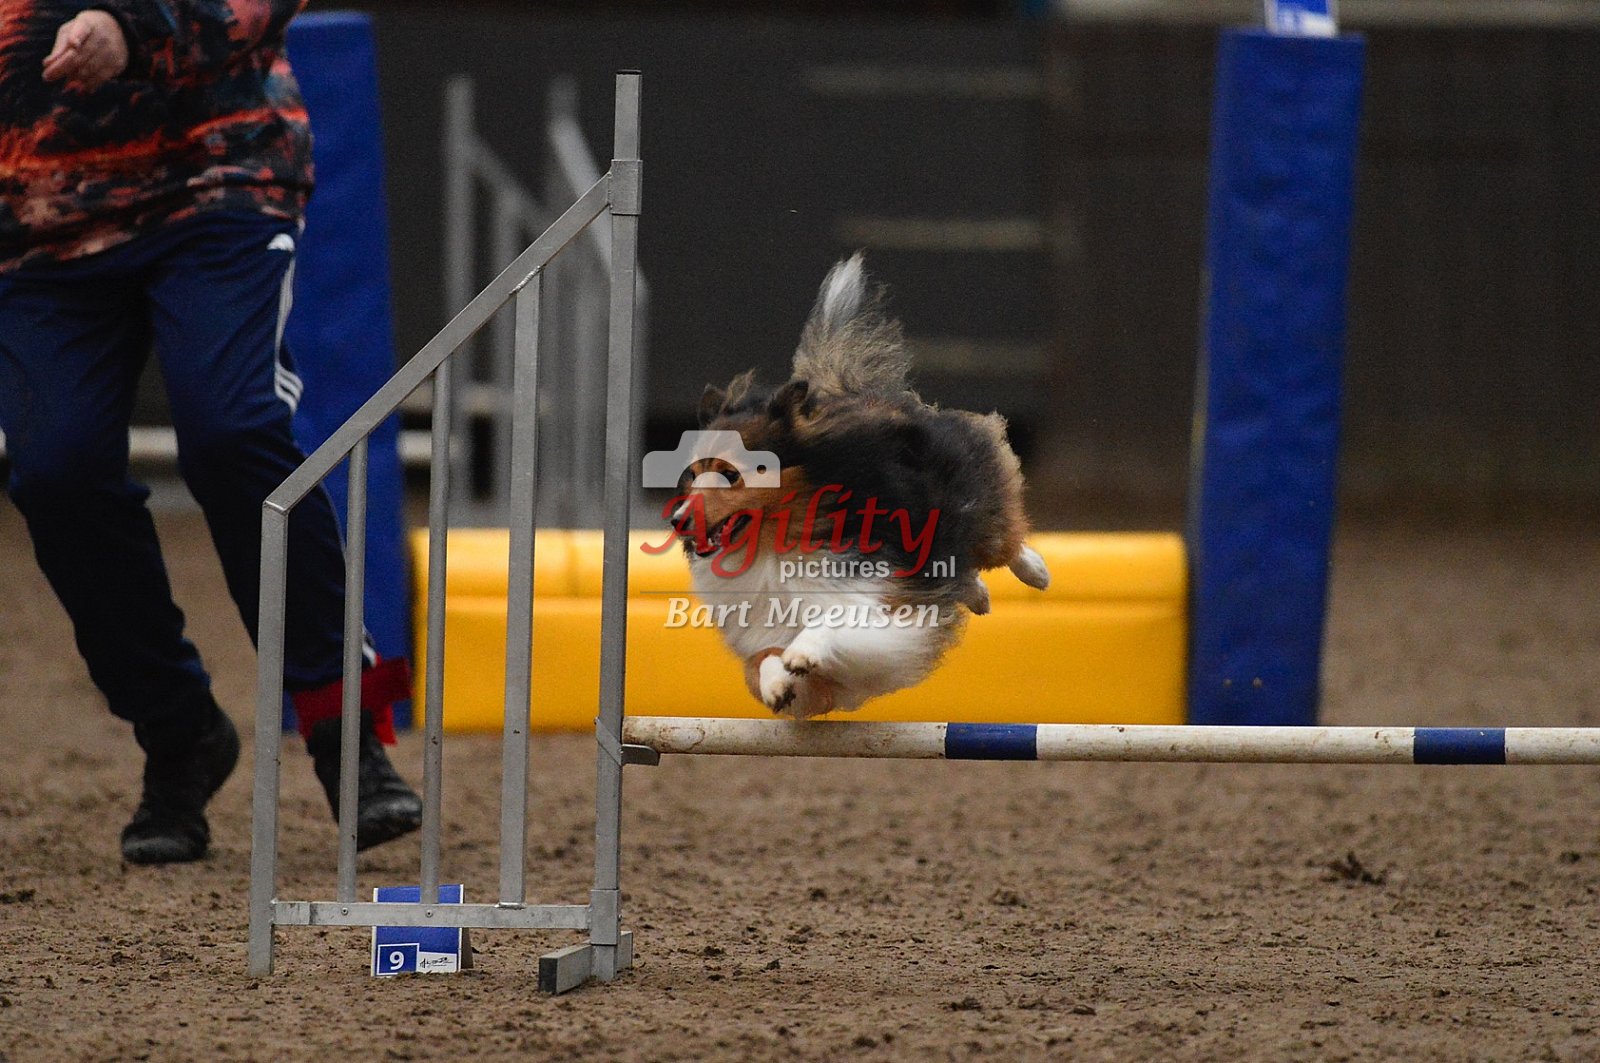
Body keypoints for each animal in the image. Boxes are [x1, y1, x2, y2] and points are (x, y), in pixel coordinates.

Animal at [667, 253, 1050, 718]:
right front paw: (779, 683)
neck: (777, 545)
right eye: (693, 473)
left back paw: (1036, 572)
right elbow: (763, 662)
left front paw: (803, 652)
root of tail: (855, 394)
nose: (677, 520)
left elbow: (834, 622)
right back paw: (976, 593)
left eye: (730, 474)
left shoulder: (888, 606)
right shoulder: (775, 638)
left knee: (1002, 536)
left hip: (975, 507)